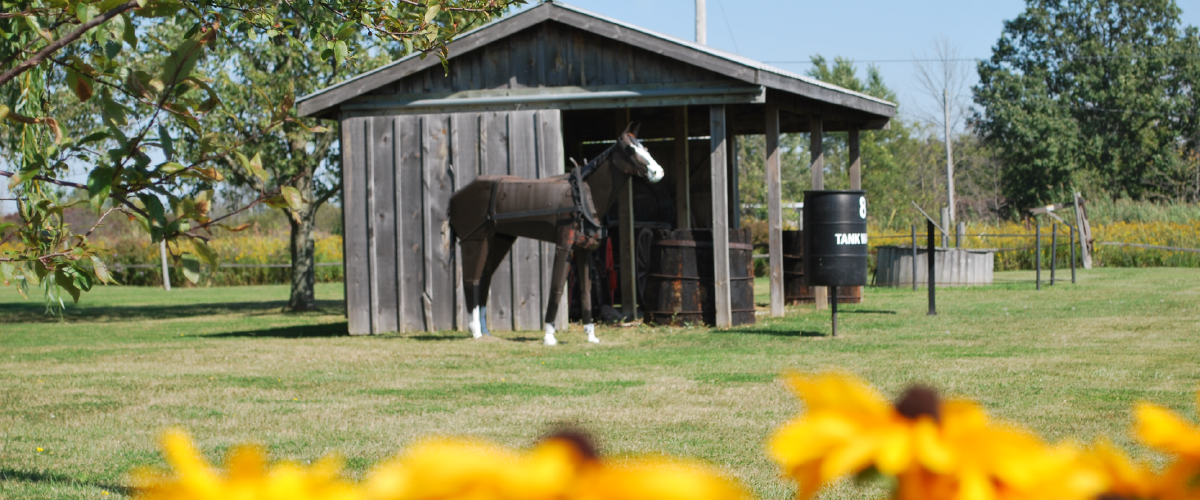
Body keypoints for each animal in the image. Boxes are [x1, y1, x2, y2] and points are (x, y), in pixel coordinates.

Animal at [448, 123, 662, 342]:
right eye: (629, 149)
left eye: (644, 147)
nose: (657, 172)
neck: (582, 196)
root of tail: (454, 197)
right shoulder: (564, 246)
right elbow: (557, 287)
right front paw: (549, 335)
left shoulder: (584, 250)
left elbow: (586, 291)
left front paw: (590, 335)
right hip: (475, 241)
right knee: (471, 280)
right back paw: (475, 331)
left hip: (500, 240)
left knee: (484, 278)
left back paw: (485, 330)